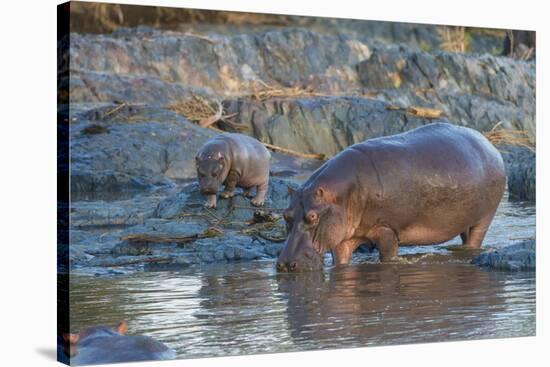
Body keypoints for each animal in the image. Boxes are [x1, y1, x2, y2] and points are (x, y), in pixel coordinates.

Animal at [278, 124, 506, 274]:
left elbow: (387, 257)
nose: (285, 264)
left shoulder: (387, 229)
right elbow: (340, 260)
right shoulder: (344, 237)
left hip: (485, 217)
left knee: (475, 238)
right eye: (285, 215)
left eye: (312, 216)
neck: (344, 193)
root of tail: (489, 143)